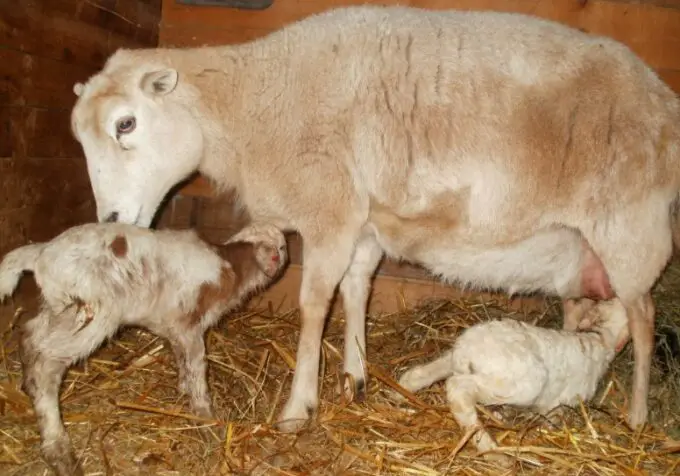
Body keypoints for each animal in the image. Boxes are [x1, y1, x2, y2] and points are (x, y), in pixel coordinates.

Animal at [0, 222, 287, 476]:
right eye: (282, 247)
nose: (281, 257)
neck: (230, 267)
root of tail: (41, 252)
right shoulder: (188, 323)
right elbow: (197, 368)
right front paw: (206, 419)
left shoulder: (175, 328)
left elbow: (184, 362)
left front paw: (184, 390)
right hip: (94, 311)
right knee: (46, 365)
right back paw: (59, 450)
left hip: (61, 310)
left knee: (31, 336)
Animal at [69, 4, 680, 432]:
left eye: (126, 123)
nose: (112, 216)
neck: (255, 107)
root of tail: (662, 99)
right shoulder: (361, 221)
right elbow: (357, 289)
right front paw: (354, 376)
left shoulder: (331, 210)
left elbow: (315, 305)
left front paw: (298, 406)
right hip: (584, 249)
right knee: (589, 312)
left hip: (631, 227)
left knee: (644, 318)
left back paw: (637, 415)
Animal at [398, 298, 637, 458]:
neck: (599, 339)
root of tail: (468, 350)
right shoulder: (560, 404)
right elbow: (551, 418)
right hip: (518, 383)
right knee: (458, 389)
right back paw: (491, 449)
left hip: (453, 360)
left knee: (420, 373)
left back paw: (399, 393)